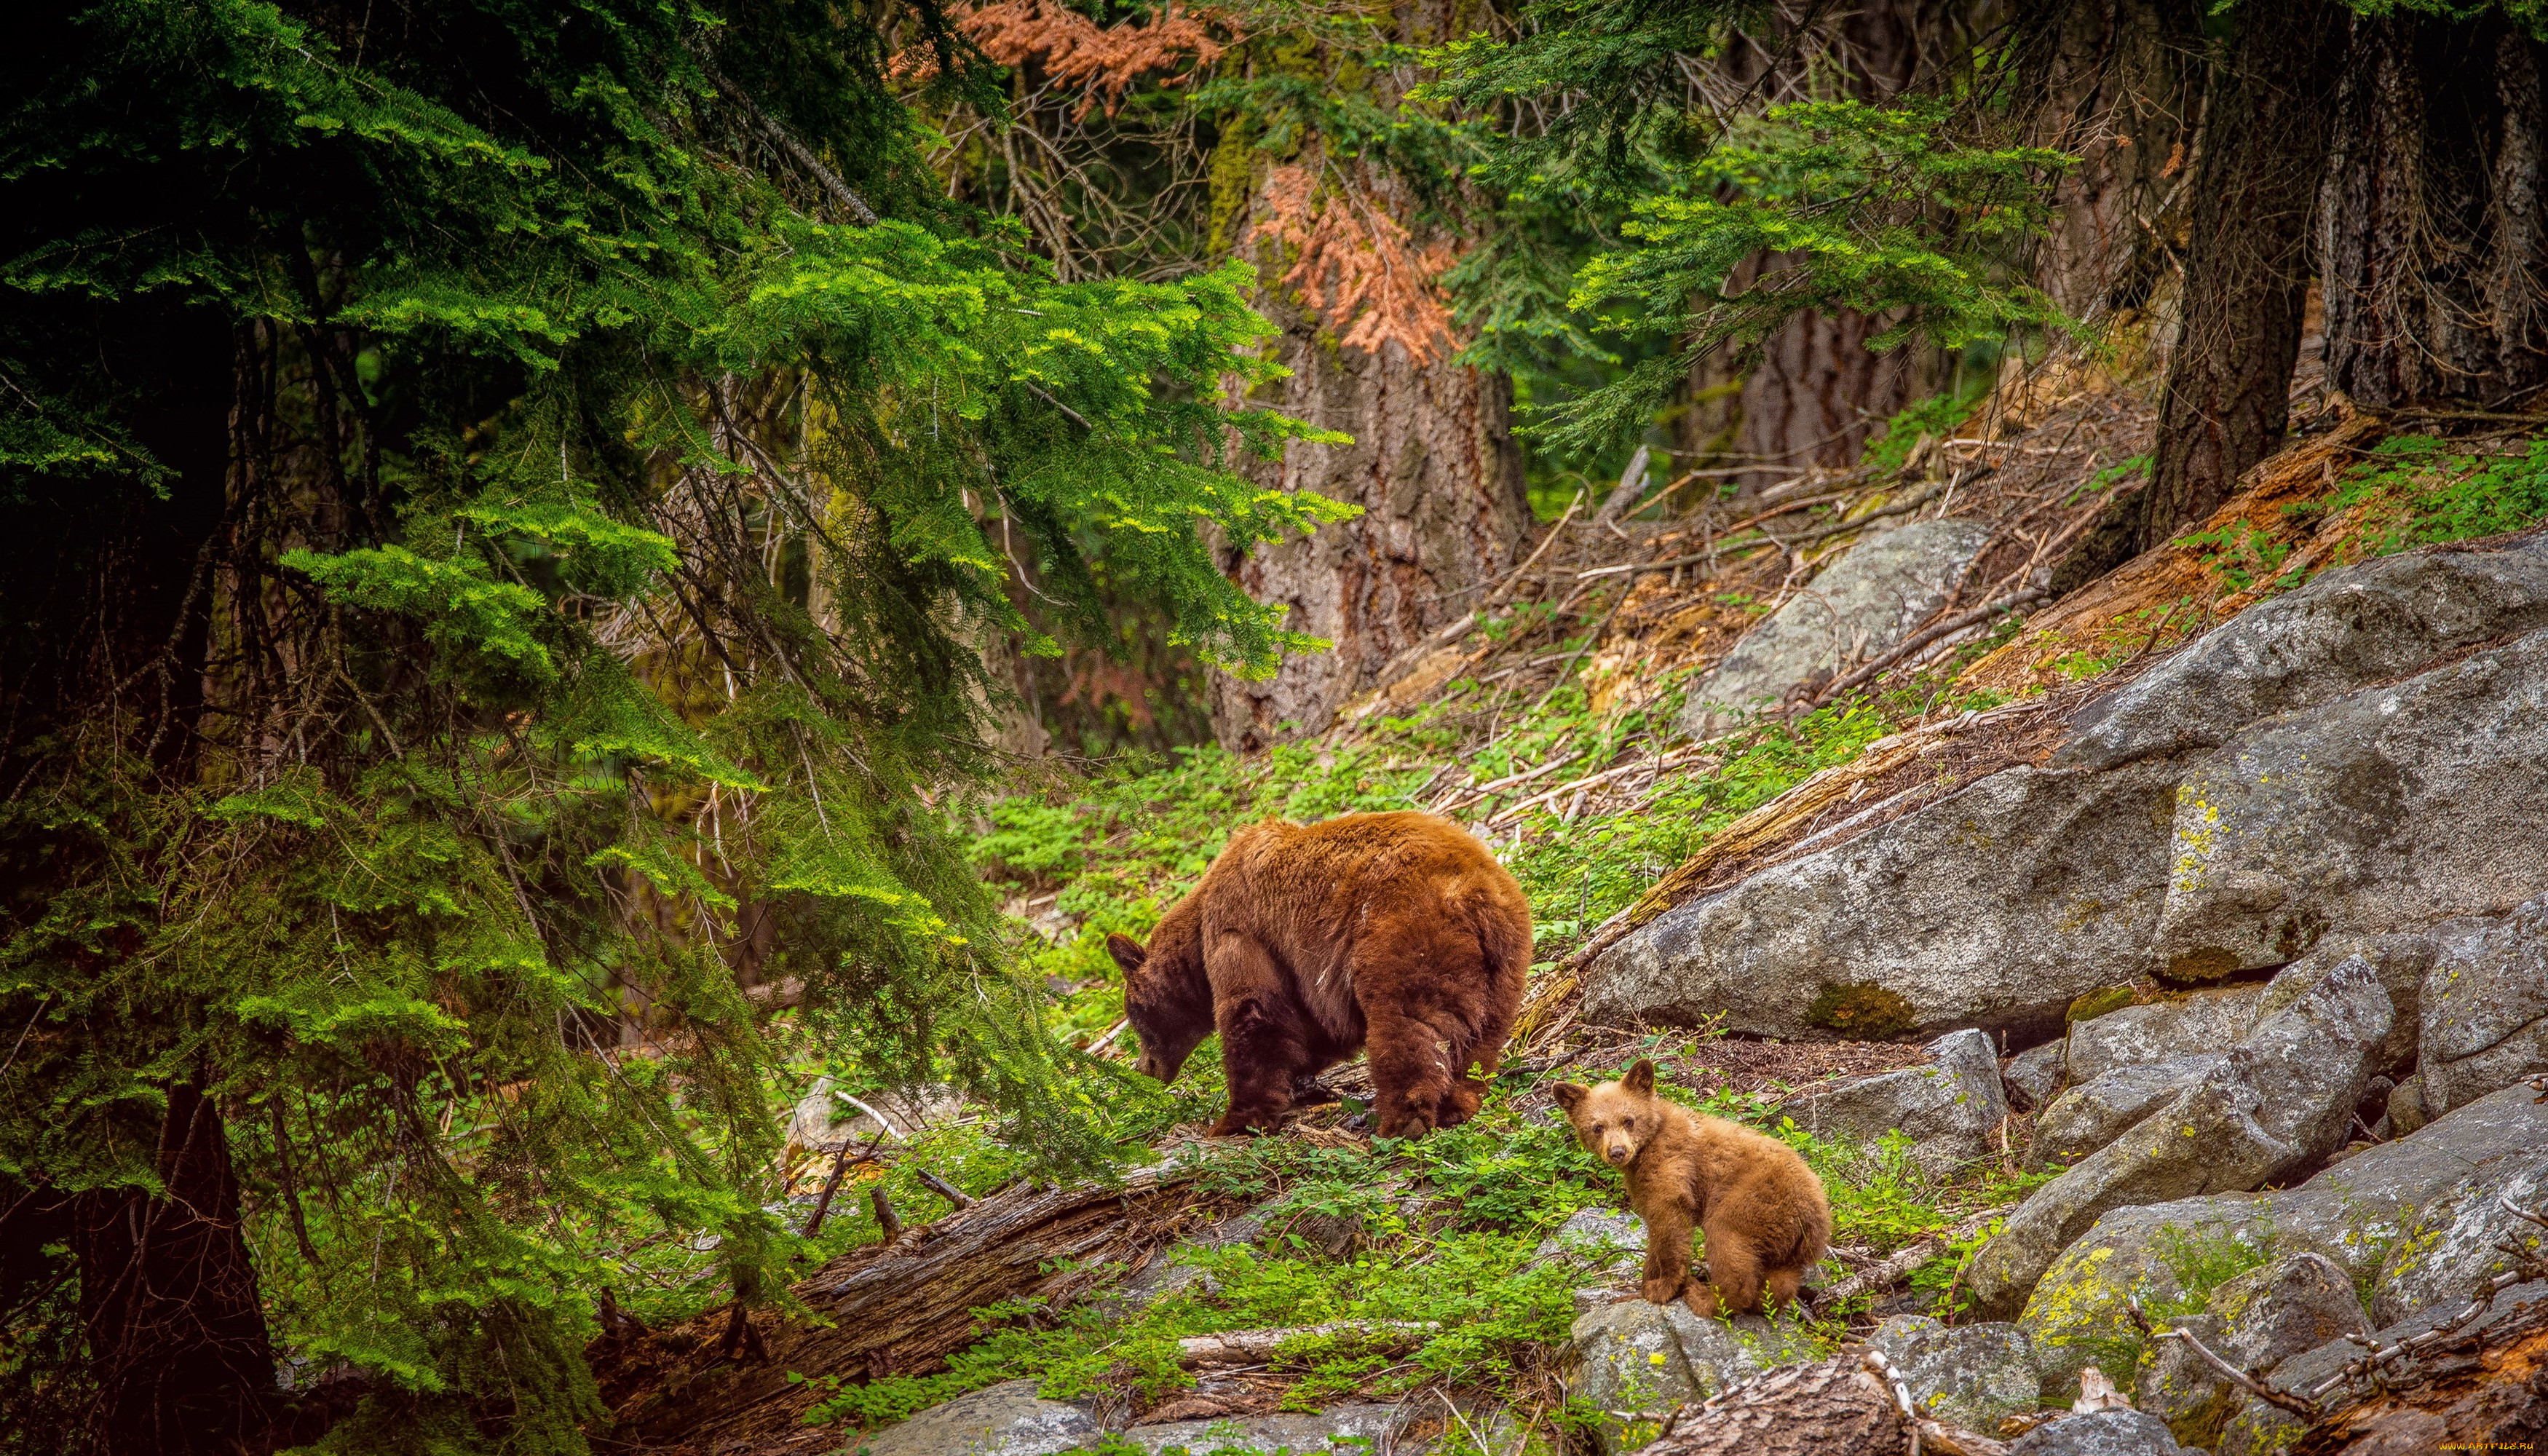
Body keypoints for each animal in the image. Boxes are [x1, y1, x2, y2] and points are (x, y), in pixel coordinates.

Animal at [1101, 810, 1529, 1137]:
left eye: (1133, 1017)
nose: (1144, 1068)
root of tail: (1474, 892)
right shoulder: (1304, 974)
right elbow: (1311, 1029)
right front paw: (1304, 1086)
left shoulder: (1241, 932)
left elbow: (1253, 1012)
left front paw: (1234, 1121)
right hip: (1505, 963)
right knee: (1481, 1038)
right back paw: (1459, 1103)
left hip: (1403, 933)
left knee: (1404, 1023)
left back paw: (1401, 1121)